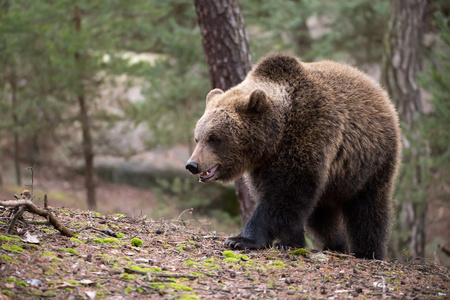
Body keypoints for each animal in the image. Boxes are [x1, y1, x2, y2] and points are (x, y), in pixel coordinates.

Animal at [185, 54, 400, 260]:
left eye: (214, 138)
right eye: (197, 138)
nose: (192, 165)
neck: (276, 136)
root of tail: (379, 91)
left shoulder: (308, 134)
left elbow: (283, 194)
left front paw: (241, 239)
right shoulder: (264, 164)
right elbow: (282, 199)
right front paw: (289, 241)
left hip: (370, 160)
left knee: (368, 208)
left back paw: (368, 252)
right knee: (322, 214)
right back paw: (336, 244)